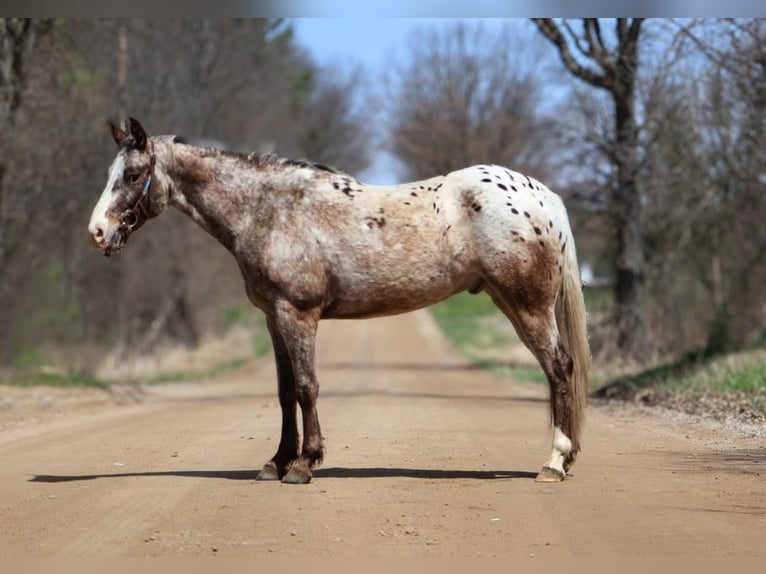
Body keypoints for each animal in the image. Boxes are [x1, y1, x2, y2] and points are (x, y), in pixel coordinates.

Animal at [88, 117, 591, 484]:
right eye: (110, 174)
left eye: (133, 174)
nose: (97, 232)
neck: (269, 210)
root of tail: (542, 196)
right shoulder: (273, 319)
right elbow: (284, 392)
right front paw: (276, 462)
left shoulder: (298, 315)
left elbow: (307, 387)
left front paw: (303, 465)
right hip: (509, 302)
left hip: (528, 306)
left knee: (558, 368)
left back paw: (554, 463)